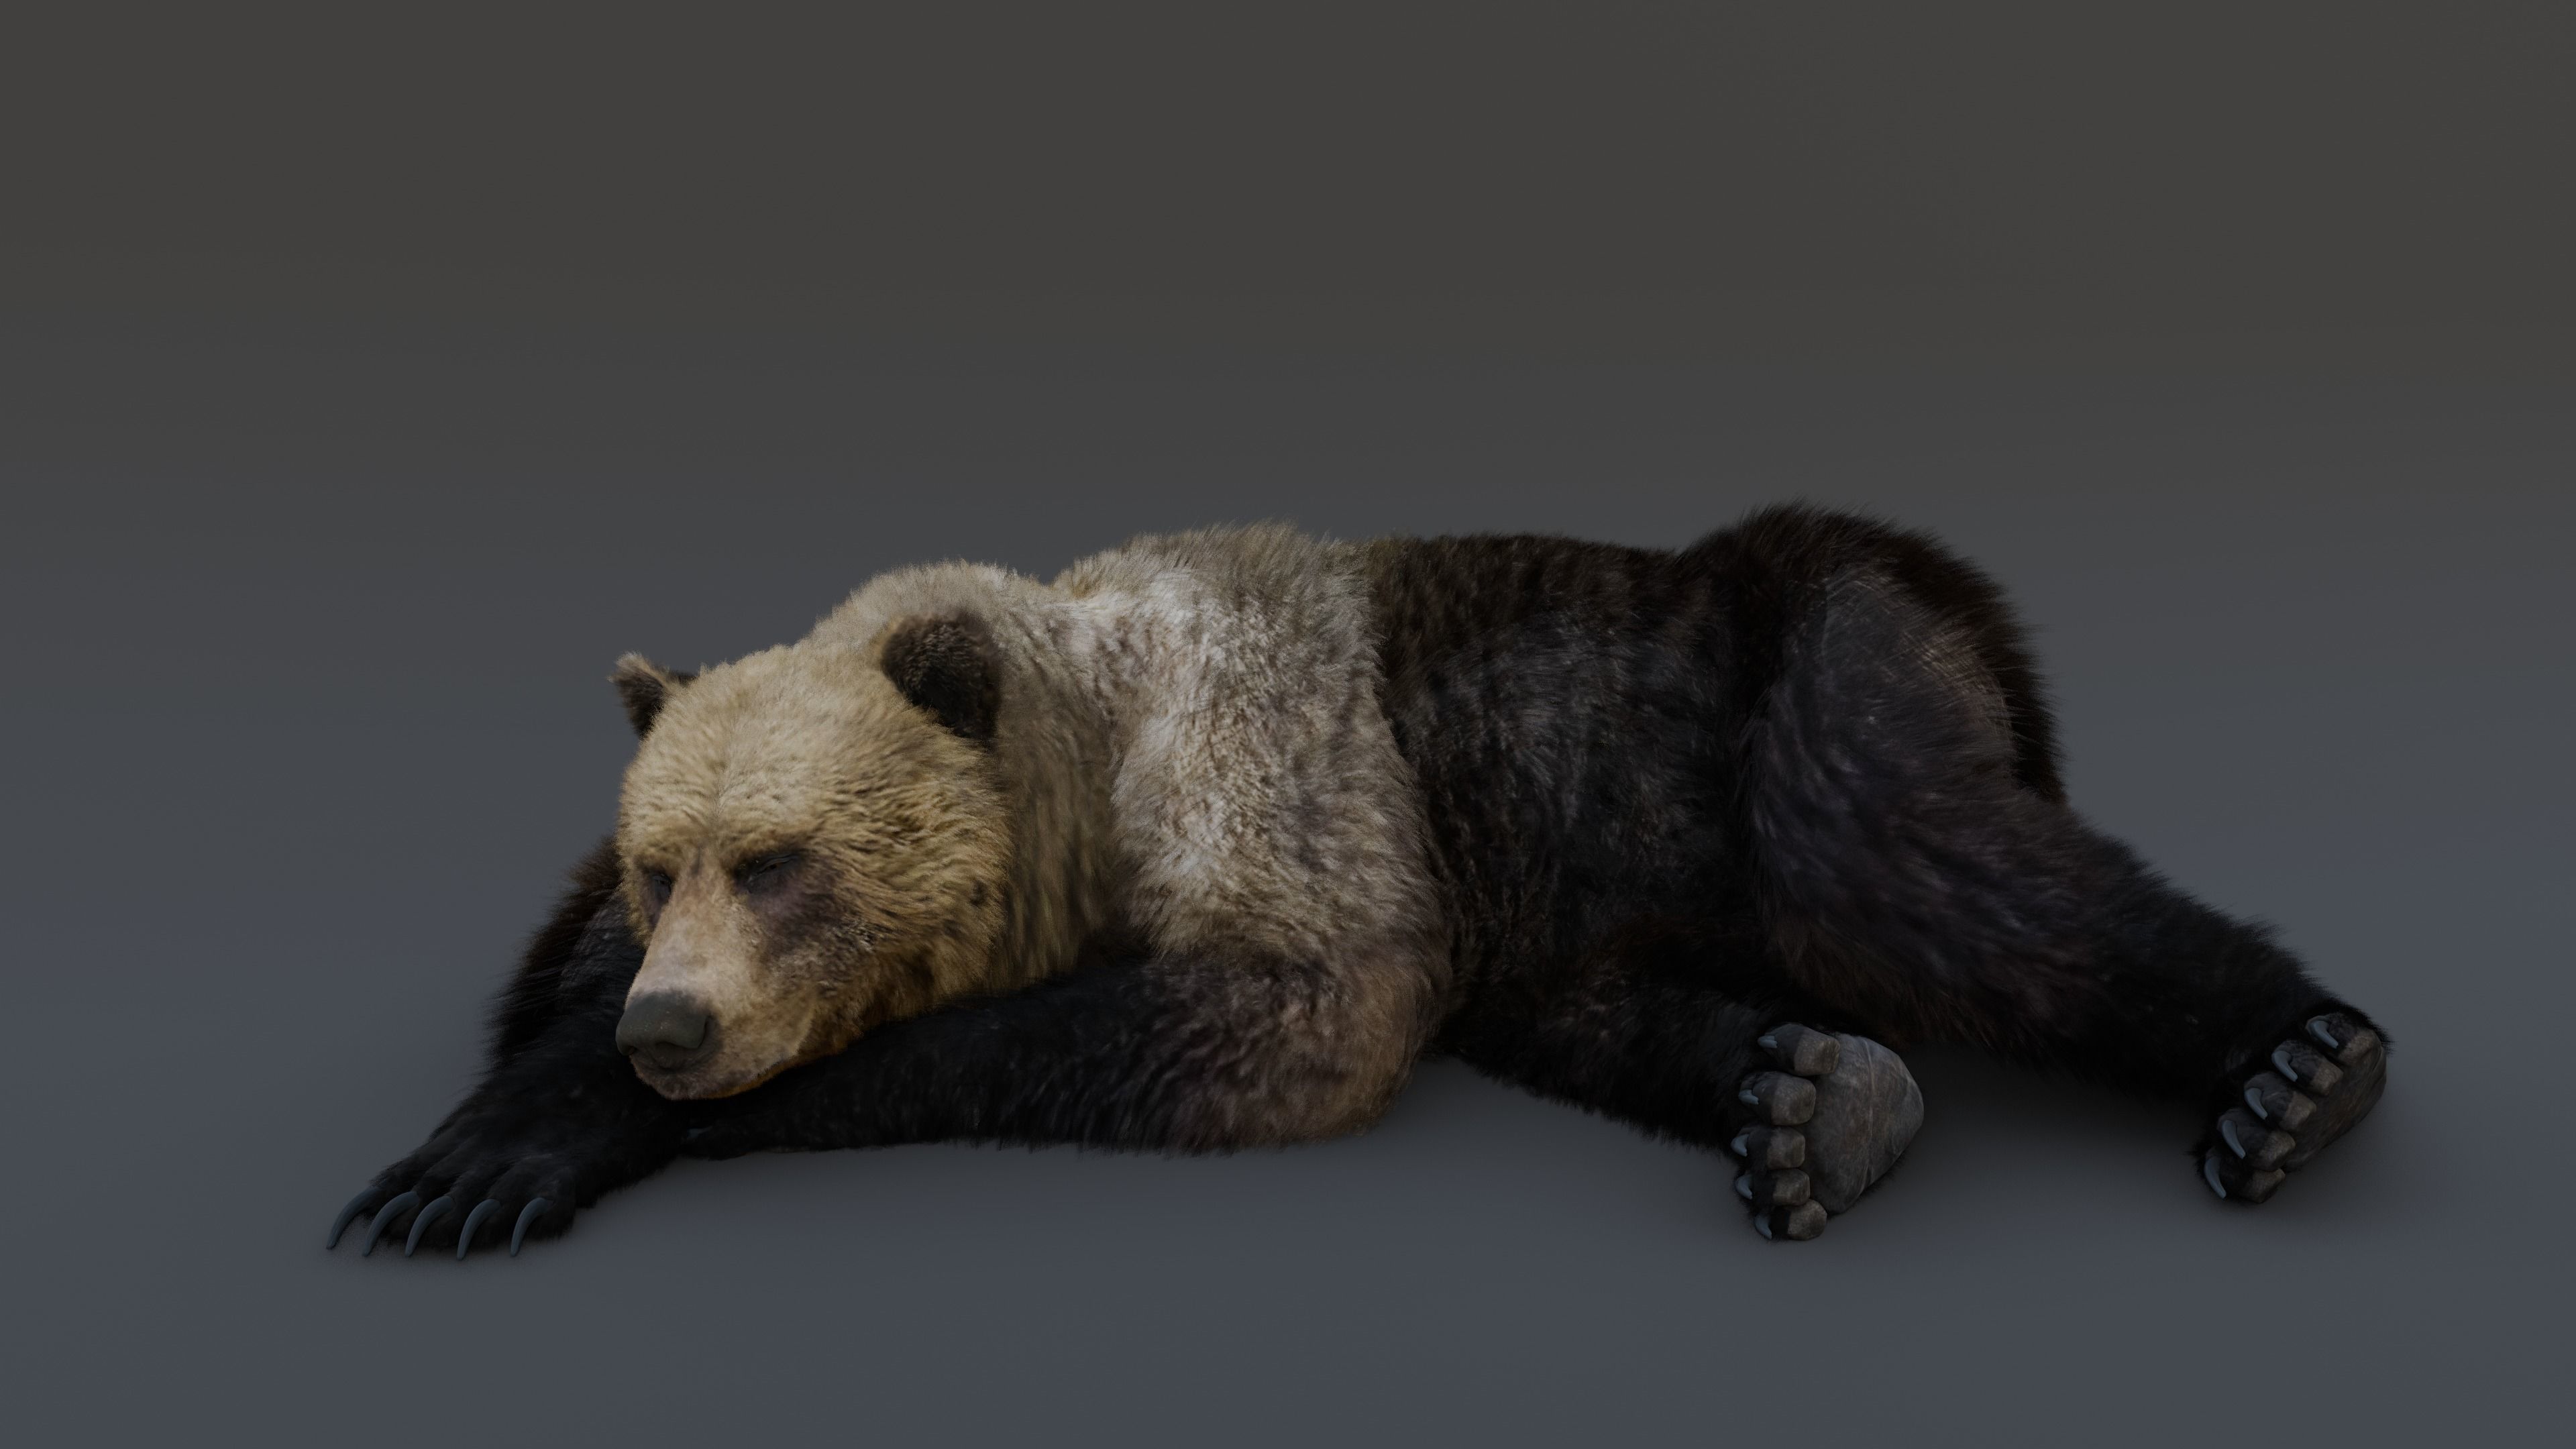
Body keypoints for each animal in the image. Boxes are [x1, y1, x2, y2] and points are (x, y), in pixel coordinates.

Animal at [328, 504, 2389, 1259]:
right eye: (663, 858)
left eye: (781, 862)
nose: (676, 1030)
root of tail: (1986, 629)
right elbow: (536, 968)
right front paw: (497, 1128)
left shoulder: (1281, 785)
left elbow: (1273, 1018)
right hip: (1567, 884)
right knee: (1611, 1006)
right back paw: (1808, 1097)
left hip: (1804, 667)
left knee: (1938, 870)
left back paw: (2293, 1072)